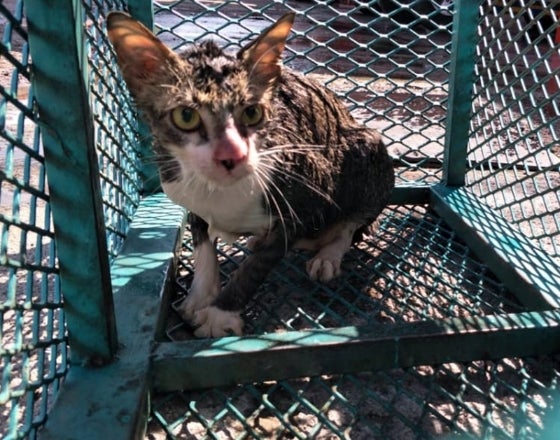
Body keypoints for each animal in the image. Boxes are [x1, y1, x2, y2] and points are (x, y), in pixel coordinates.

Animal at [106, 12, 394, 338]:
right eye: (186, 116)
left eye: (252, 112)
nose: (232, 154)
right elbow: (203, 244)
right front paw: (200, 295)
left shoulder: (305, 189)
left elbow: (255, 267)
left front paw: (219, 314)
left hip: (366, 147)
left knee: (354, 220)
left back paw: (328, 254)